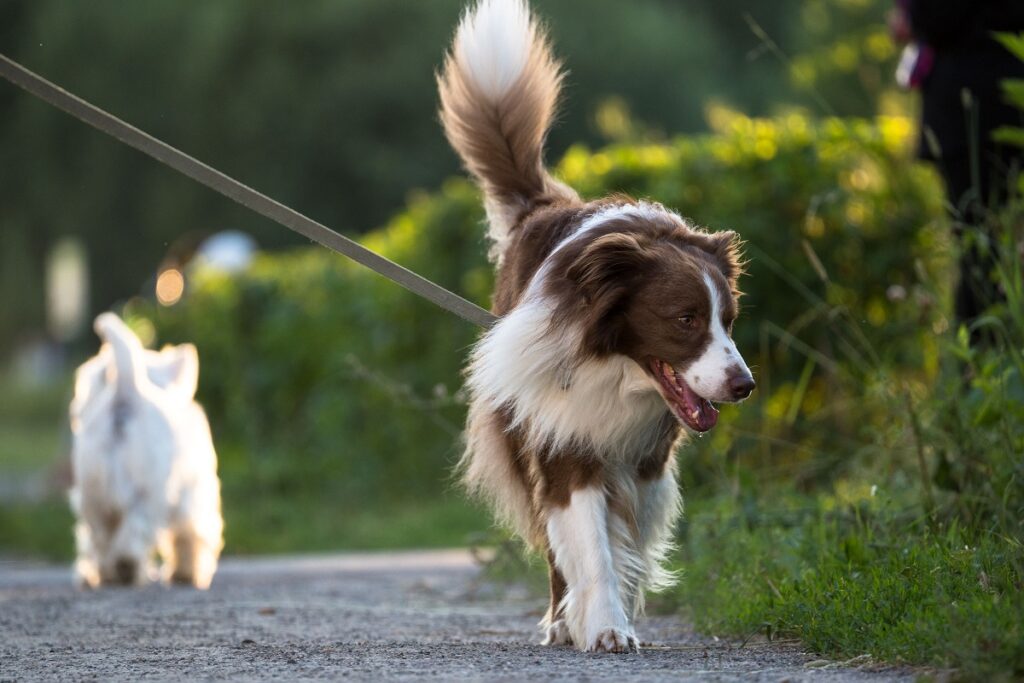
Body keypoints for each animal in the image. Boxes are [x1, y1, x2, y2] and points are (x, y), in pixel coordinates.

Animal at [69, 313, 223, 589]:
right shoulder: (194, 493)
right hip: (149, 493)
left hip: (93, 494)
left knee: (102, 538)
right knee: (134, 533)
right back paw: (127, 569)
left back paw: (106, 574)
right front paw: (186, 573)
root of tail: (126, 390)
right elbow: (188, 536)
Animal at [438, 0, 753, 655]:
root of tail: (541, 206)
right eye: (685, 319)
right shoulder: (564, 434)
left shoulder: (647, 457)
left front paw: (619, 617)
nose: (744, 385)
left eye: (729, 320)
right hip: (519, 425)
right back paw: (561, 620)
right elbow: (587, 542)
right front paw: (603, 625)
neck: (615, 368)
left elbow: (625, 540)